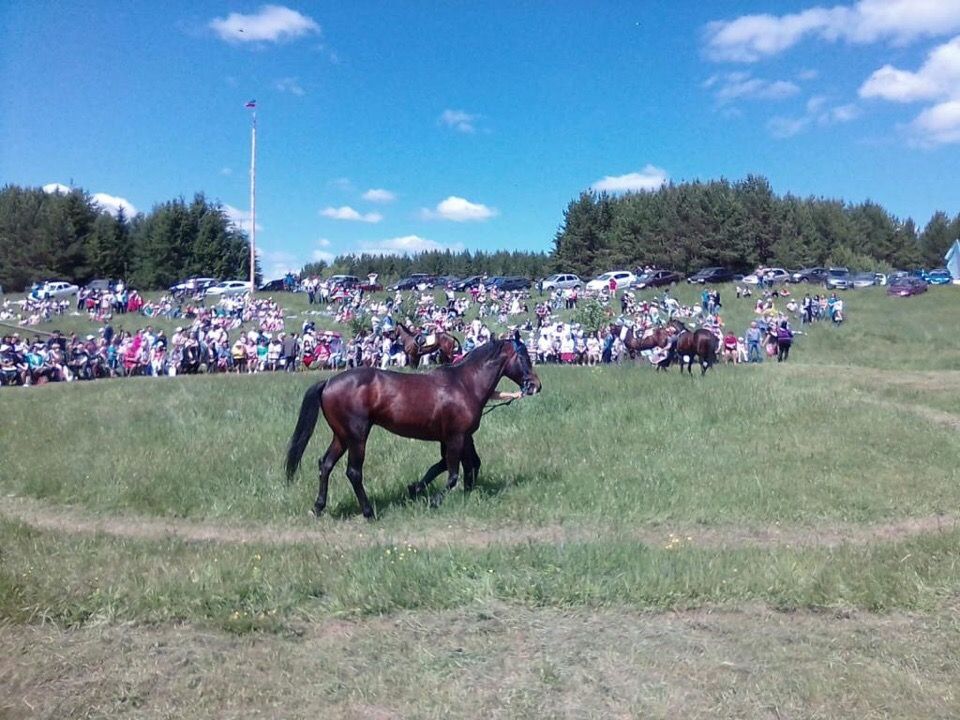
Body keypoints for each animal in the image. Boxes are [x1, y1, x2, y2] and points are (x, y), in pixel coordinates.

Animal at [284, 338, 540, 516]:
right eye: (524, 357)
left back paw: (318, 507)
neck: (464, 384)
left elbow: (461, 465)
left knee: (325, 464)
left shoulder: (459, 437)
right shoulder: (456, 437)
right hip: (357, 436)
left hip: (342, 436)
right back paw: (368, 512)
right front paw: (435, 500)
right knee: (353, 472)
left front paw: (419, 488)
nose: (535, 385)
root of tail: (328, 382)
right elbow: (453, 474)